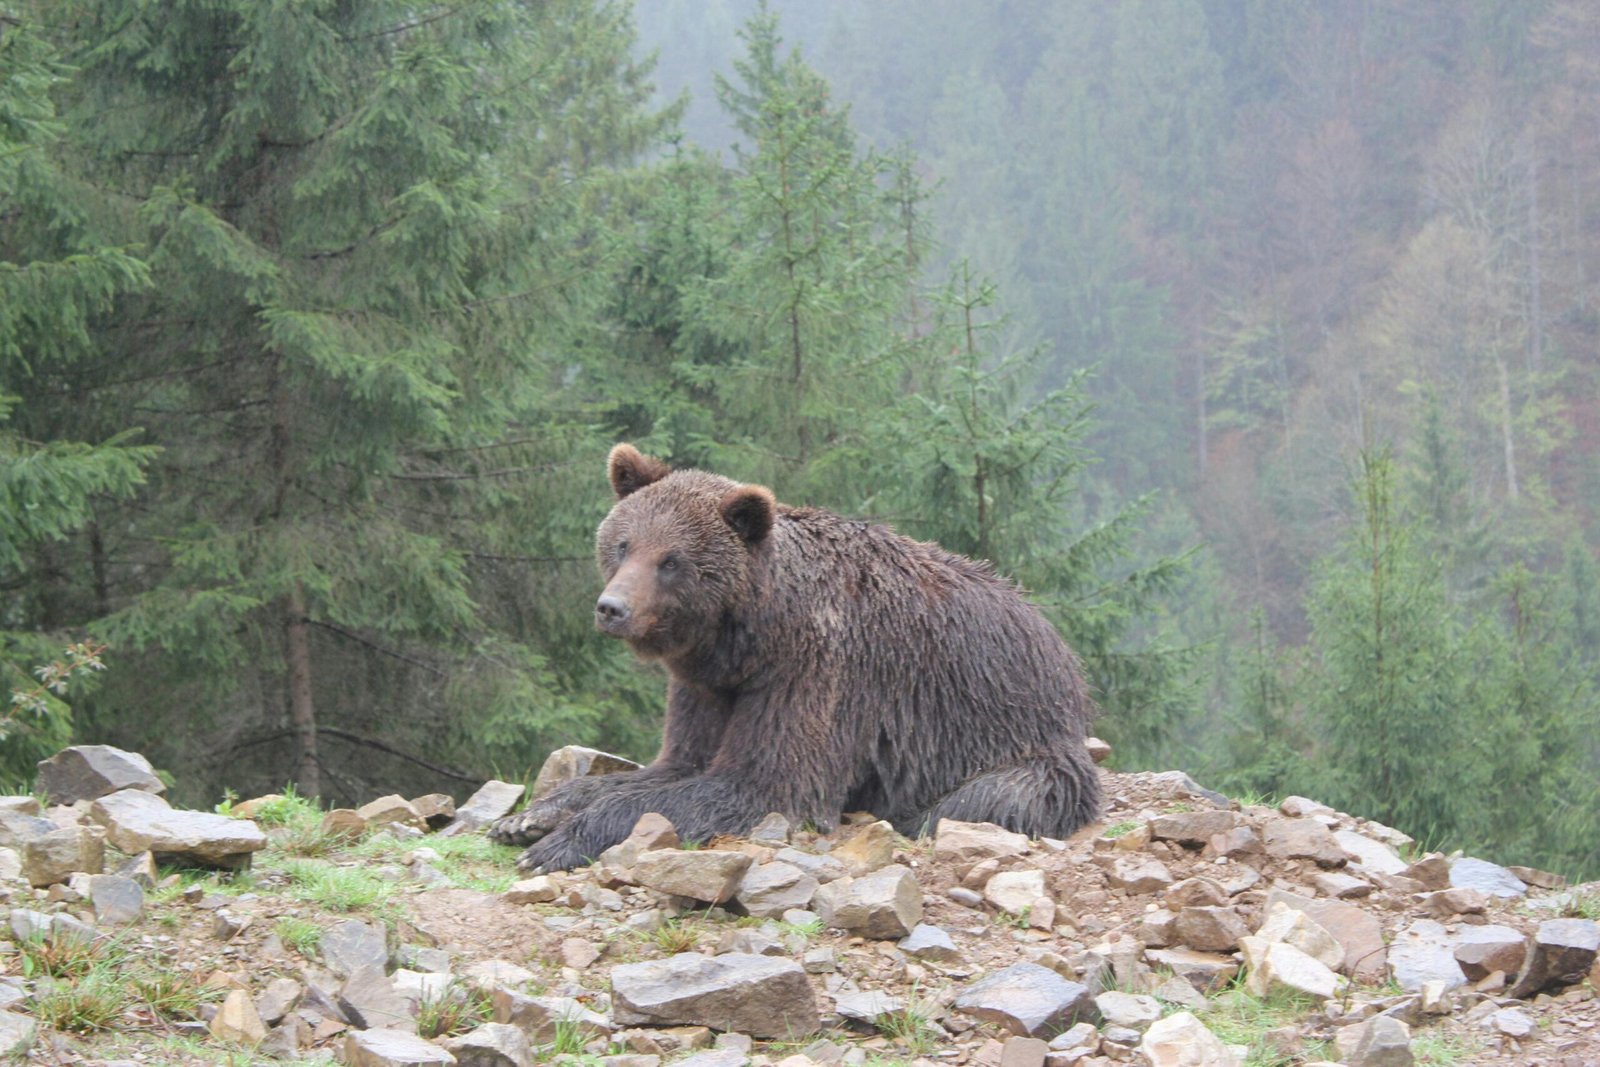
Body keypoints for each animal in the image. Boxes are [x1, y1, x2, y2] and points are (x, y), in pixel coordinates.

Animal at [487, 444, 1102, 872]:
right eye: (622, 544)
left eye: (672, 560)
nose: (612, 608)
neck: (749, 635)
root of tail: (1061, 651)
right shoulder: (708, 683)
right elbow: (673, 764)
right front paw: (528, 817)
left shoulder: (817, 671)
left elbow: (764, 783)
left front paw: (558, 843)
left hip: (1016, 739)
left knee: (985, 800)